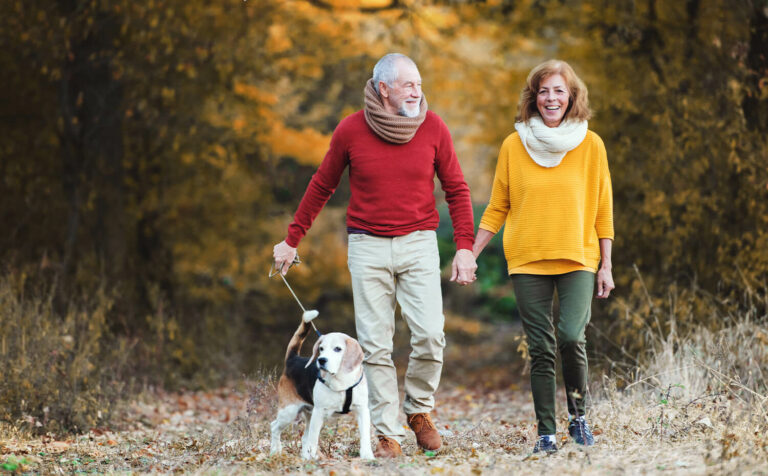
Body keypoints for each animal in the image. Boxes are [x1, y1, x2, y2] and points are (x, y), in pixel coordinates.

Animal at [270, 316, 376, 462]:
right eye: (321, 348)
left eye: (337, 349)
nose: (321, 360)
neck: (341, 380)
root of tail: (293, 359)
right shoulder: (319, 412)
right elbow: (314, 438)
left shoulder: (362, 410)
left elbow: (365, 436)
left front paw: (367, 455)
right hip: (289, 412)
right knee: (274, 427)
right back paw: (276, 452)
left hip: (308, 413)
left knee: (304, 437)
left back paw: (305, 456)